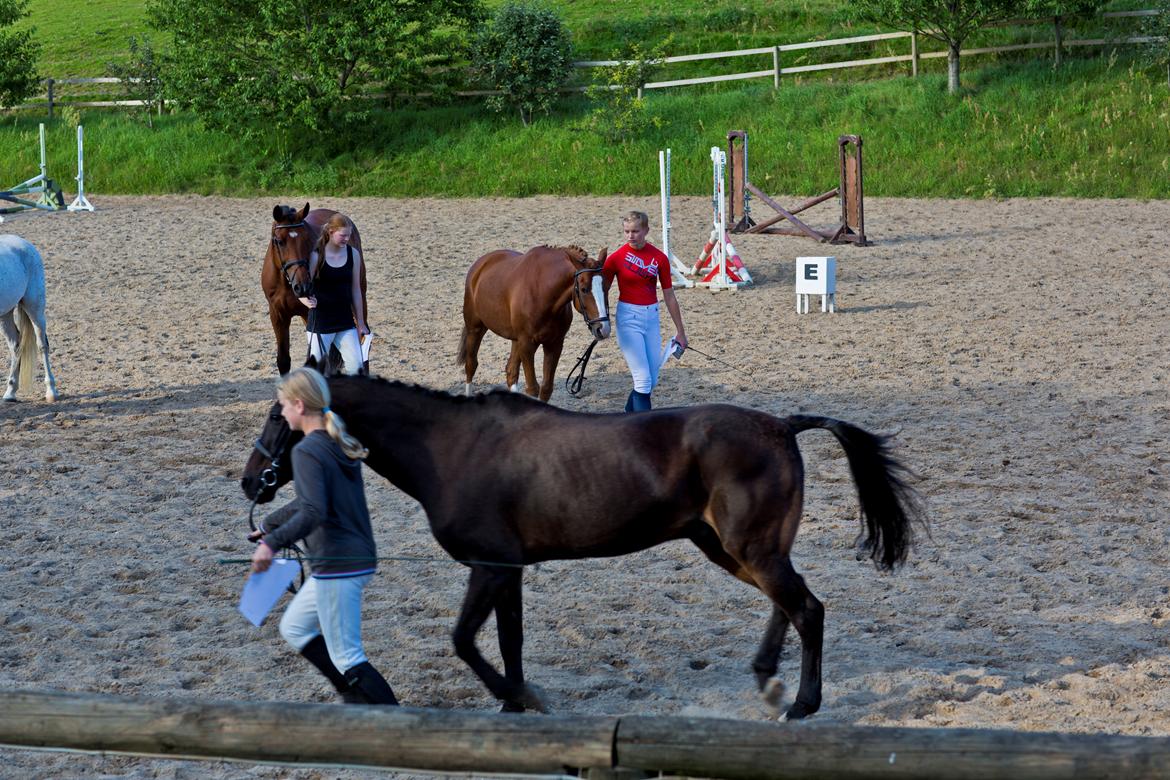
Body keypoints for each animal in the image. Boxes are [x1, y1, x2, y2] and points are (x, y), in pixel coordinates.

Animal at [0, 231, 57, 402]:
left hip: (35, 307)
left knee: (42, 344)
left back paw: (51, 391)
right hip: (5, 313)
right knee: (16, 346)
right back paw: (10, 392)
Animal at [242, 376, 926, 720]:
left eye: (277, 417)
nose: (252, 481)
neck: (453, 448)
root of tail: (783, 425)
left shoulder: (489, 566)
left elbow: (463, 640)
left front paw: (517, 697)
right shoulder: (507, 569)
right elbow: (508, 641)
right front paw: (517, 700)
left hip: (750, 549)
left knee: (807, 609)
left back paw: (802, 705)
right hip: (733, 550)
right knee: (788, 605)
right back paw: (766, 680)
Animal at [263, 204, 367, 374]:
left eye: (305, 239)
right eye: (279, 241)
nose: (303, 287)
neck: (286, 284)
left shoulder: (310, 316)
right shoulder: (277, 315)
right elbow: (283, 360)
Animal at [456, 245, 613, 402]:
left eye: (607, 287)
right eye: (584, 289)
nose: (603, 329)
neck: (542, 292)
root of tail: (481, 264)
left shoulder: (554, 344)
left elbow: (546, 388)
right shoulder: (527, 345)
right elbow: (532, 388)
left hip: (515, 340)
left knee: (511, 371)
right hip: (475, 328)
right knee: (471, 365)